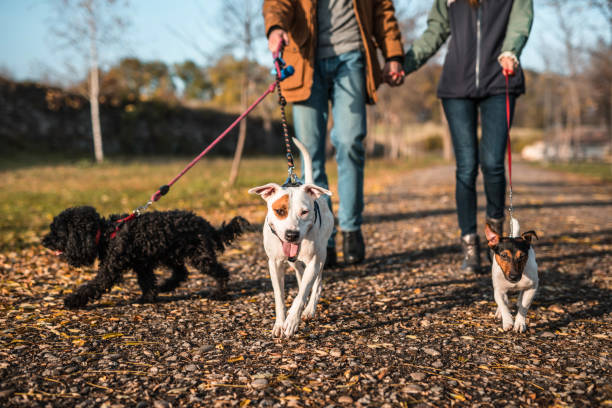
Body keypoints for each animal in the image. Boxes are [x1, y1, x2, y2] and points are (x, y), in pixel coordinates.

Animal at [42, 206, 249, 308]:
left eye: (56, 232)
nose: (43, 241)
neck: (107, 233)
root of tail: (206, 224)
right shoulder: (142, 265)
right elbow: (147, 282)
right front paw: (148, 298)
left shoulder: (109, 271)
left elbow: (91, 286)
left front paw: (72, 301)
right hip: (171, 253)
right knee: (181, 273)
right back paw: (166, 286)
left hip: (200, 256)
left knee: (221, 272)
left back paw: (220, 293)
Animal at [250, 139, 334, 336]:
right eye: (280, 211)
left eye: (304, 212)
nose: (291, 234)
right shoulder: (274, 264)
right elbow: (280, 296)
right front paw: (280, 323)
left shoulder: (314, 262)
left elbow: (302, 293)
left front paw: (292, 321)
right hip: (293, 262)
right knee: (300, 274)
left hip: (321, 257)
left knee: (316, 284)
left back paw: (309, 309)